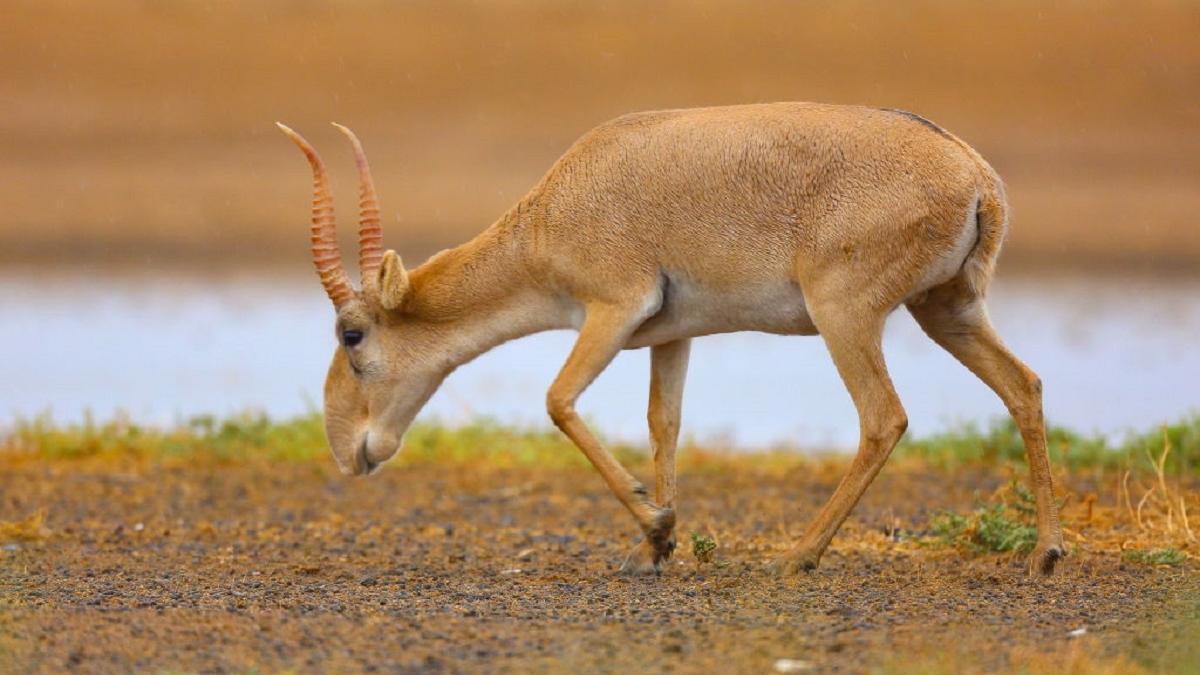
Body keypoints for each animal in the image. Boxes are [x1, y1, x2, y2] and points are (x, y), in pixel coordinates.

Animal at [283, 102, 1070, 576]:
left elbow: (558, 400)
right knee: (1025, 384)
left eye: (352, 333)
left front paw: (659, 527)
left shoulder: (612, 309)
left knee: (884, 417)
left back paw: (798, 557)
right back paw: (1047, 554)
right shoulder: (673, 336)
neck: (557, 208)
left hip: (846, 316)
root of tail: (974, 176)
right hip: (948, 309)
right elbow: (664, 422)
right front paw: (655, 548)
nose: (349, 450)